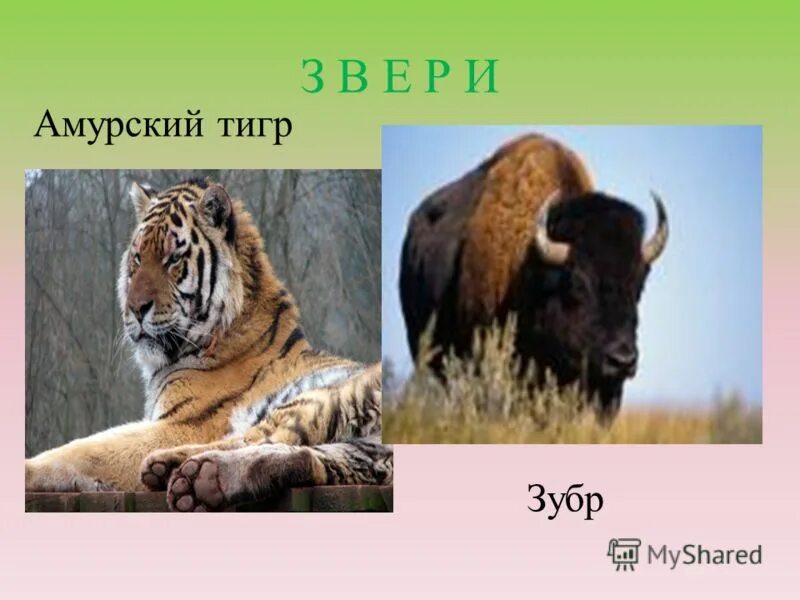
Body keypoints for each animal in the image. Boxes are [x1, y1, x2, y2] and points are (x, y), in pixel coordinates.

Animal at [25, 178, 392, 512]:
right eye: (138, 258)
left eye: (173, 259)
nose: (134, 309)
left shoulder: (181, 425)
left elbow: (83, 450)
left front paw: (28, 468)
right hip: (353, 447)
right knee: (302, 455)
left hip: (323, 401)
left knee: (261, 440)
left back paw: (176, 469)